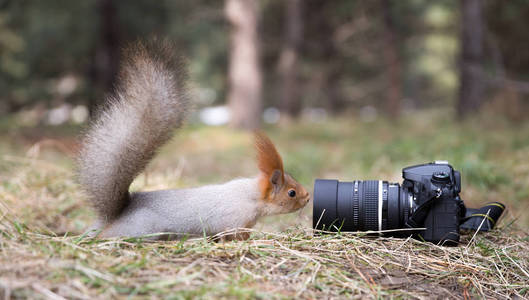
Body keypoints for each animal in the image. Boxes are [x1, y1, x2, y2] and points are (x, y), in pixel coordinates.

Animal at [77, 41, 310, 240]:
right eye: (291, 193)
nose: (308, 197)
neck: (250, 195)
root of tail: (116, 216)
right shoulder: (233, 221)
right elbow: (234, 235)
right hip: (143, 229)